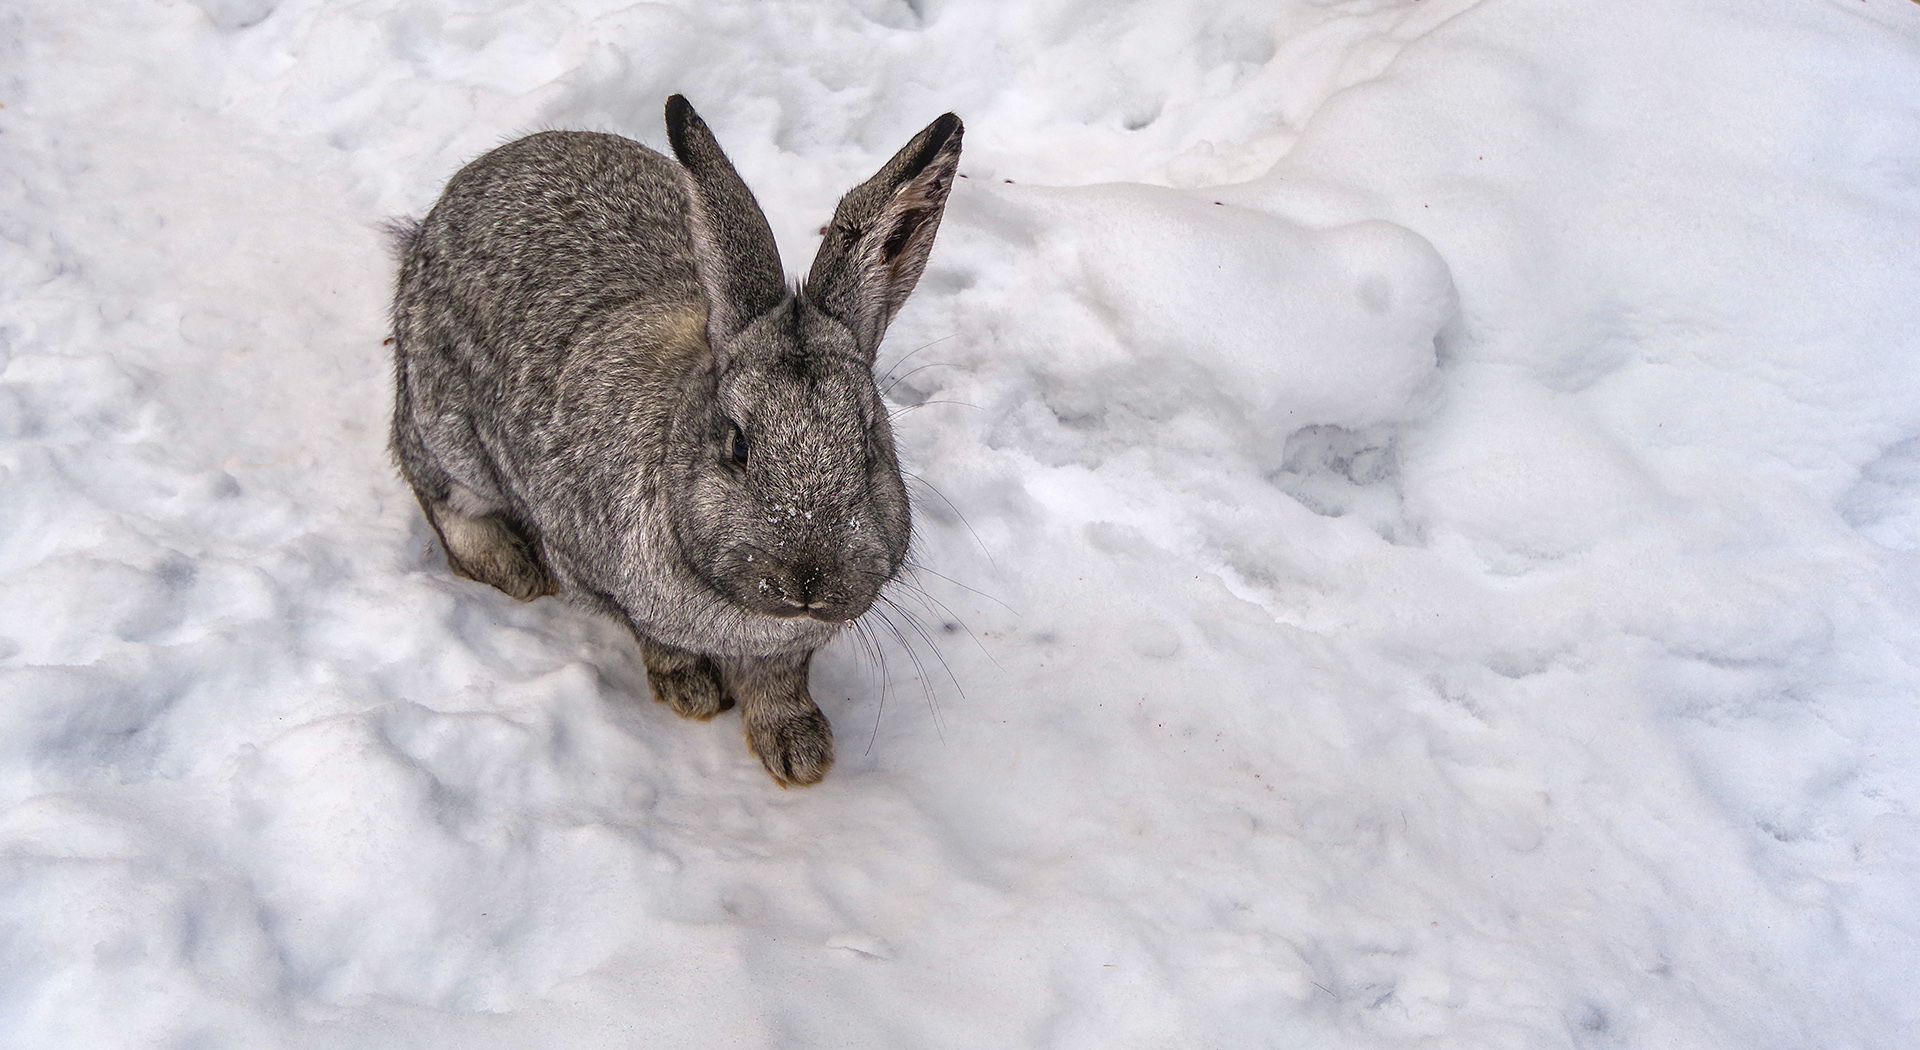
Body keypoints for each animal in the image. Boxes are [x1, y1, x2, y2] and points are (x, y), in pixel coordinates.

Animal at [387, 98, 960, 783]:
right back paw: (511, 568)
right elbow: (656, 641)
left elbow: (778, 680)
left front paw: (797, 752)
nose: (807, 580)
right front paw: (693, 695)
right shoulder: (589, 566)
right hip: (445, 429)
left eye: (870, 441)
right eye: (737, 445)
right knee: (437, 491)